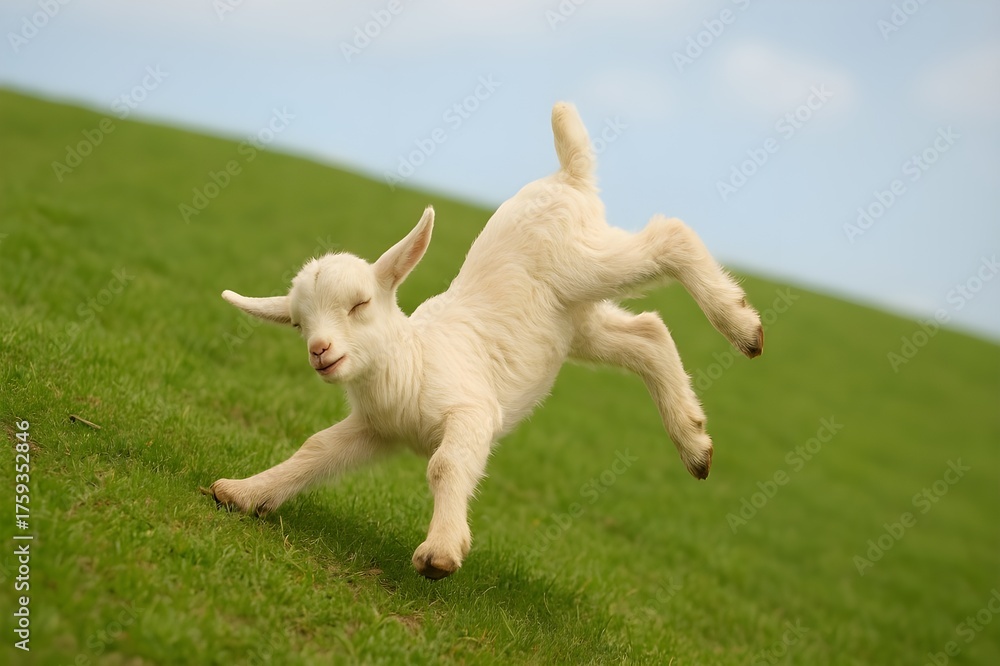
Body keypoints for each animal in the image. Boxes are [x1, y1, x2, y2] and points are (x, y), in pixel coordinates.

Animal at [207, 102, 764, 579]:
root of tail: (566, 176)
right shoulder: (376, 429)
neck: (411, 360)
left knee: (671, 235)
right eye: (298, 324)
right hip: (574, 323)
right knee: (648, 332)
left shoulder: (471, 410)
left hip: (582, 262)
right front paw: (242, 493)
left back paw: (744, 329)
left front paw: (439, 553)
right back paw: (694, 443)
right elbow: (316, 449)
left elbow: (445, 465)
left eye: (361, 304)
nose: (319, 351)